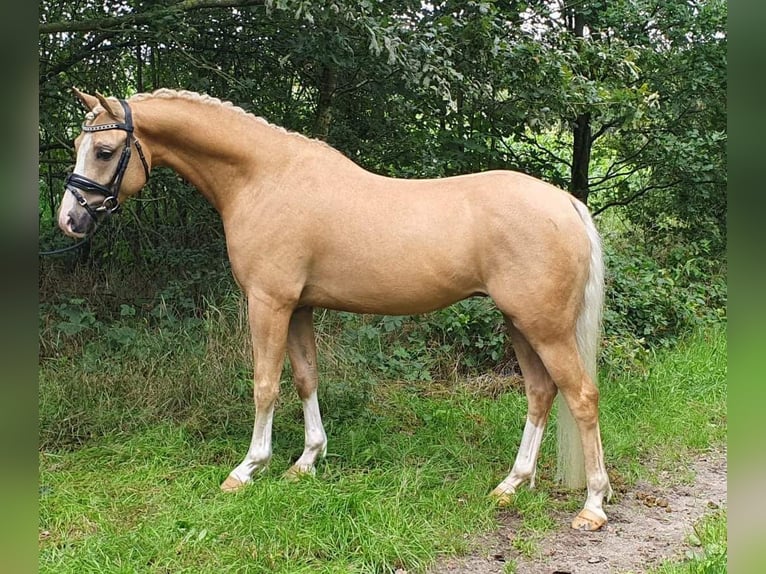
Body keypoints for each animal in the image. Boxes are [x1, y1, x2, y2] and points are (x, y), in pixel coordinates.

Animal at [58, 88, 611, 531]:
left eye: (105, 150)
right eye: (78, 147)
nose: (69, 220)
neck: (264, 177)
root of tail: (566, 203)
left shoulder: (268, 302)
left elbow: (265, 384)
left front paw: (248, 468)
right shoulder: (299, 307)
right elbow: (306, 378)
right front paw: (306, 461)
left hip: (545, 326)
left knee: (582, 396)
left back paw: (592, 505)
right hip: (520, 323)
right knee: (540, 393)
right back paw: (513, 484)